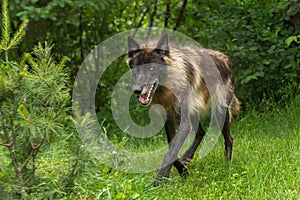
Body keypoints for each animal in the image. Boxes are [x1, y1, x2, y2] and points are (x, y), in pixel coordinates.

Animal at [125, 33, 240, 184]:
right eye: (136, 69)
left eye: (151, 69)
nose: (137, 90)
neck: (166, 89)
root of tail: (225, 58)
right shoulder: (169, 118)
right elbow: (172, 149)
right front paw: (183, 172)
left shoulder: (183, 122)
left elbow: (170, 152)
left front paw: (159, 181)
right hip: (194, 112)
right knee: (201, 133)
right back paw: (187, 157)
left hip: (220, 112)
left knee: (229, 139)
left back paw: (227, 165)